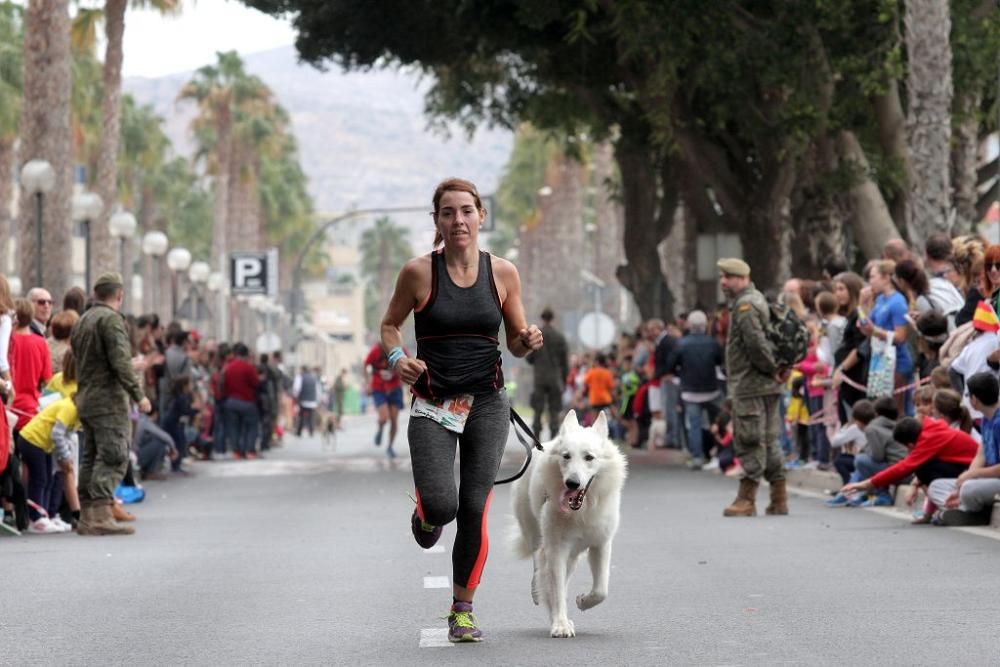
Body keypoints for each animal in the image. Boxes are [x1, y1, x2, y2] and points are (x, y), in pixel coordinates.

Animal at [512, 410, 628, 640]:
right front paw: (560, 625)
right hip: (536, 535)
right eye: (566, 456)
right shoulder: (556, 549)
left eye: (589, 457)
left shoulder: (601, 545)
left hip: (573, 556)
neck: (582, 511)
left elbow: (601, 590)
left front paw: (583, 601)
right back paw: (540, 595)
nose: (572, 484)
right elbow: (556, 589)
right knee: (539, 566)